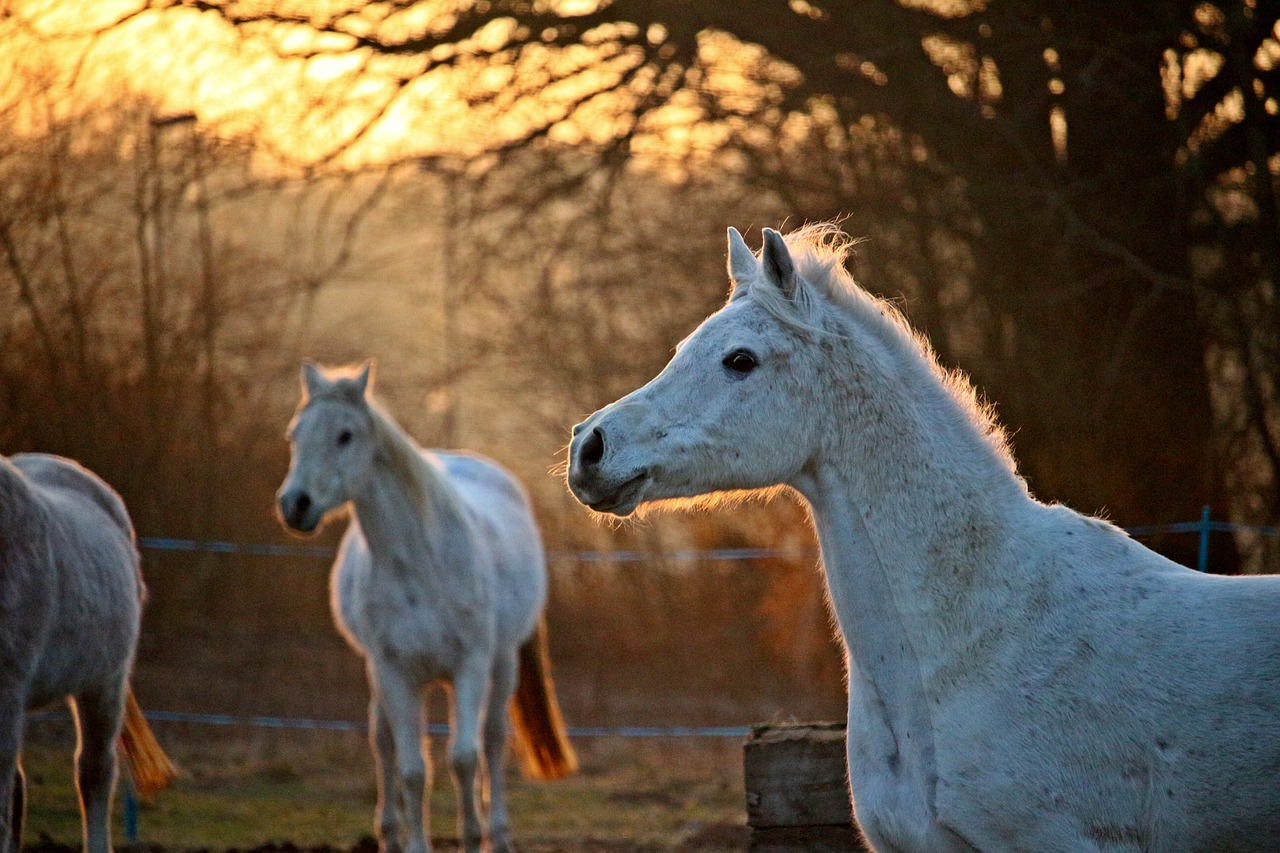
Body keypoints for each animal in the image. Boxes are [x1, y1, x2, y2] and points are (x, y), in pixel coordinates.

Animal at [280, 358, 581, 850]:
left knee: (492, 741)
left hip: (502, 661)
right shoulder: (395, 671)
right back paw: (389, 832)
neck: (420, 565)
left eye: (345, 434)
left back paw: (498, 834)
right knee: (382, 742)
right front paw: (414, 842)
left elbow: (464, 758)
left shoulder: (470, 665)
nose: (295, 505)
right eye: (294, 434)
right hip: (384, 674)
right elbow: (411, 768)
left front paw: (473, 835)